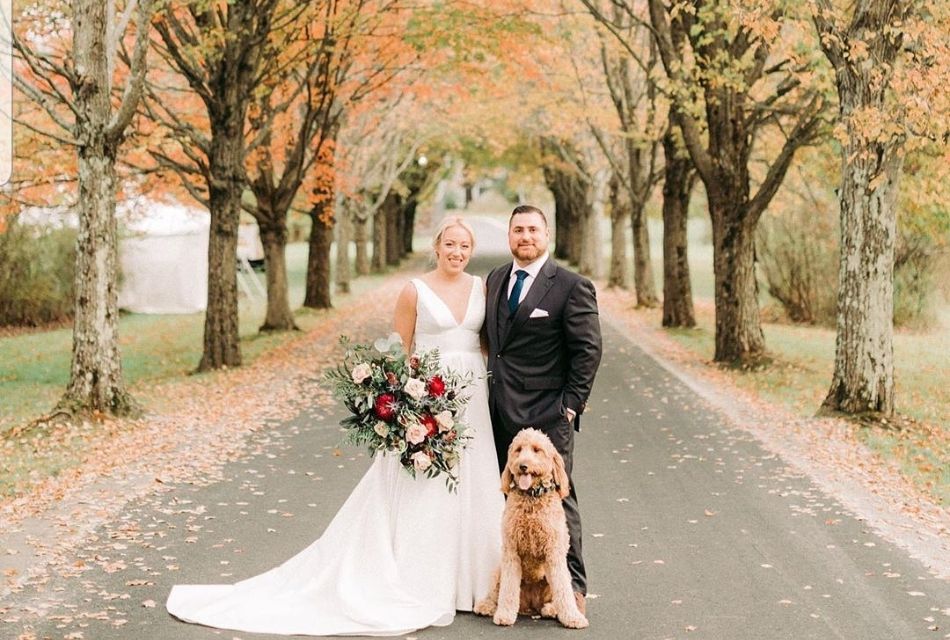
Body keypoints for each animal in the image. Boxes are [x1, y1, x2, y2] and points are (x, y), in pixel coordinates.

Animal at [474, 428, 588, 628]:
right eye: (518, 450)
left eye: (537, 450)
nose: (523, 466)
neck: (532, 497)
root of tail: (531, 605)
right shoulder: (511, 552)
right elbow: (508, 589)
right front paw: (505, 614)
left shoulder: (554, 553)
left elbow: (563, 591)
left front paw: (572, 617)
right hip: (499, 570)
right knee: (496, 592)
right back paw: (487, 605)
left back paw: (552, 609)